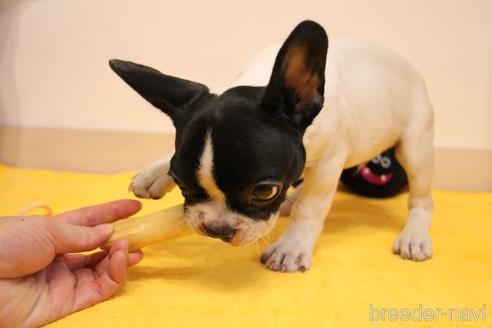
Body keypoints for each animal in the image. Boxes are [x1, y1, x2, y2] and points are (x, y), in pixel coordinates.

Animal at [110, 19, 434, 272]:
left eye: (264, 191)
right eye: (180, 182)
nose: (217, 229)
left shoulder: (330, 162)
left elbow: (312, 207)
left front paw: (291, 246)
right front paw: (155, 172)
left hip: (415, 146)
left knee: (421, 197)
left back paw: (414, 236)